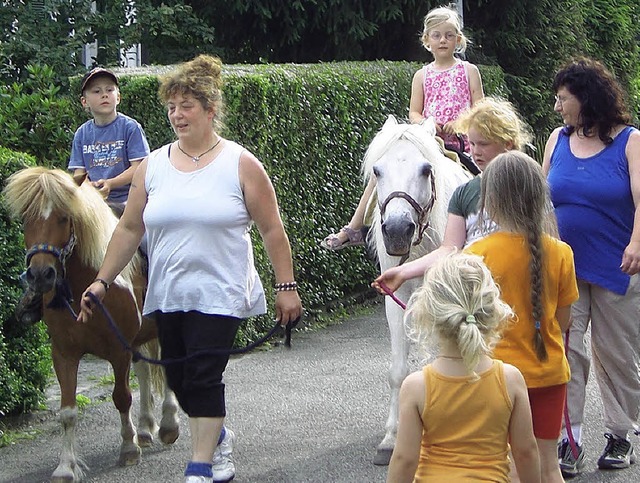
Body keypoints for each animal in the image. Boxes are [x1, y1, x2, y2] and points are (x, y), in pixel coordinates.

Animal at [2, 168, 179, 482]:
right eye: (25, 218)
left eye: (64, 217)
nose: (40, 275)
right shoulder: (64, 353)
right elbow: (67, 412)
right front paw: (65, 467)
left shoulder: (118, 350)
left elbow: (121, 397)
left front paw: (128, 448)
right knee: (145, 371)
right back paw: (146, 428)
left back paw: (168, 425)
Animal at [362, 114, 472, 466]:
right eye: (377, 171)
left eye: (426, 169)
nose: (397, 231)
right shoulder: (395, 300)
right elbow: (398, 370)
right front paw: (391, 438)